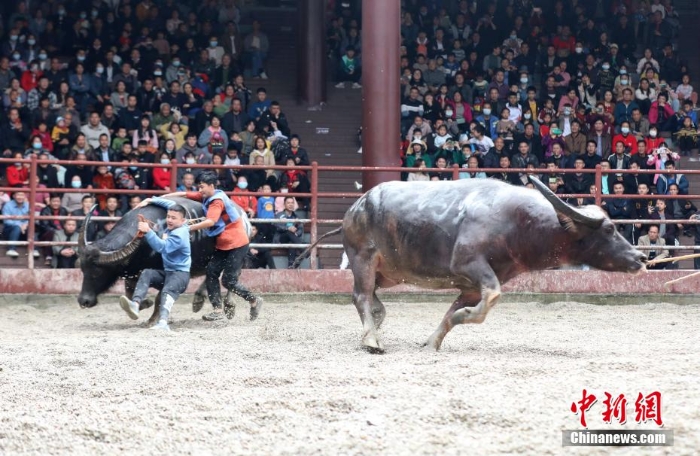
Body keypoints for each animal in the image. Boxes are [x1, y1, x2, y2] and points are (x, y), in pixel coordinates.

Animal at [76, 196, 250, 324]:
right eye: (83, 270)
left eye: (97, 272)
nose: (84, 301)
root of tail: (244, 217)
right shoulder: (132, 273)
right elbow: (130, 292)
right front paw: (144, 303)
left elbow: (160, 297)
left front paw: (152, 319)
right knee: (213, 275)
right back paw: (198, 300)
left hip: (235, 255)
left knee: (231, 277)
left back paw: (229, 306)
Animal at [300, 175, 644, 352]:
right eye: (610, 229)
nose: (641, 258)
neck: (516, 222)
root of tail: (355, 208)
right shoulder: (469, 266)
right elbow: (491, 297)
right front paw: (461, 318)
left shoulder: (470, 286)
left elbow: (454, 311)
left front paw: (434, 340)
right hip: (363, 257)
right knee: (360, 296)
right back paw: (371, 339)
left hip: (389, 272)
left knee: (373, 298)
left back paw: (375, 323)